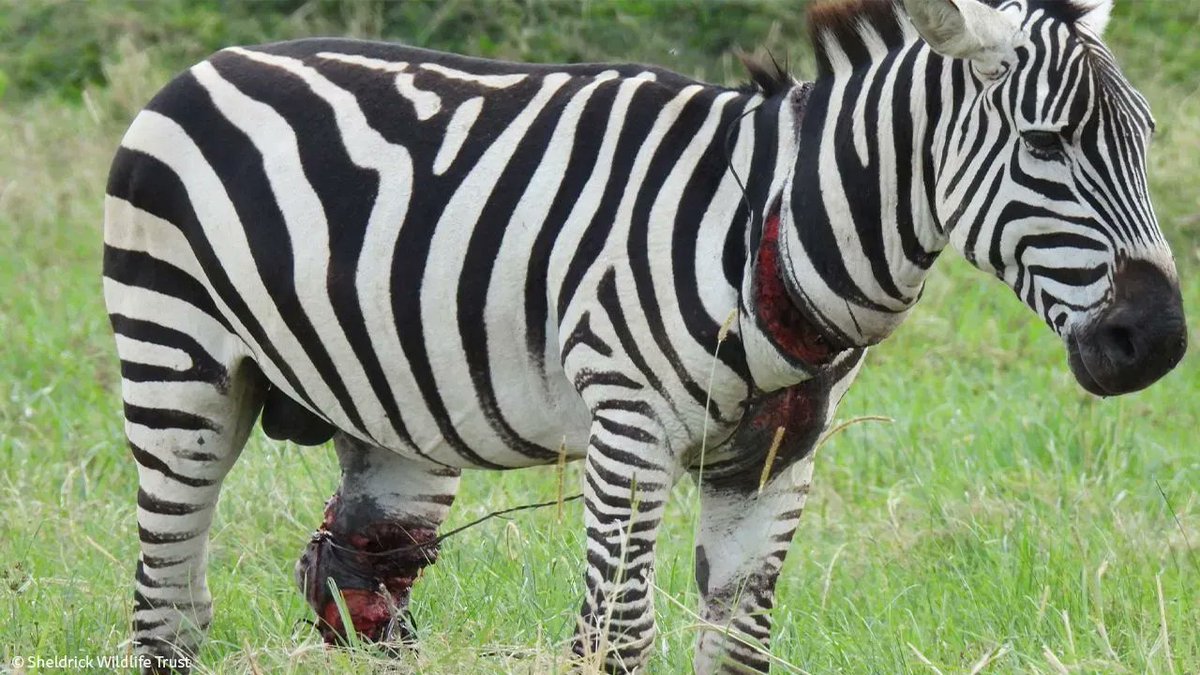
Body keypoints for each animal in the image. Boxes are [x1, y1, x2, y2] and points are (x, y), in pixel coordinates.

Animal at [103, 0, 1186, 671]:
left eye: (1146, 141)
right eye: (1046, 144)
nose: (1161, 342)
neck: (769, 225)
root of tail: (207, 65)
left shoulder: (776, 456)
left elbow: (738, 645)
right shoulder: (628, 431)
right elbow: (618, 639)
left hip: (393, 426)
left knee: (357, 589)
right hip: (177, 370)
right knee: (169, 607)